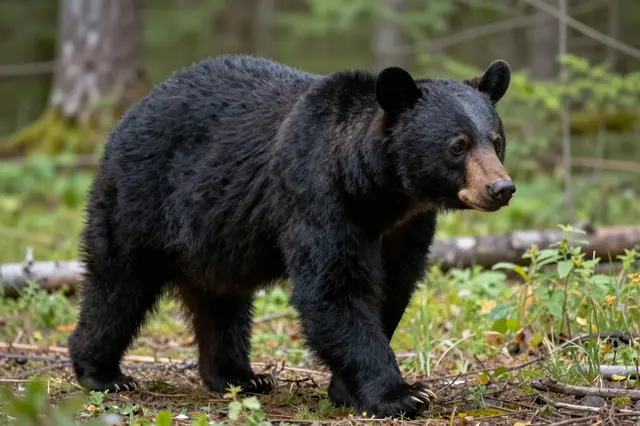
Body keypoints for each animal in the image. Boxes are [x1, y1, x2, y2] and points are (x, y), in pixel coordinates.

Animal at [67, 54, 514, 419]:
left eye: (496, 141)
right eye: (458, 145)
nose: (501, 188)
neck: (380, 194)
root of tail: (130, 114)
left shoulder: (406, 227)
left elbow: (392, 287)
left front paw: (347, 389)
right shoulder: (320, 199)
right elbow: (333, 289)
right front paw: (403, 394)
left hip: (215, 239)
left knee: (220, 302)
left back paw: (238, 376)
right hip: (140, 199)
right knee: (119, 285)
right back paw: (101, 372)